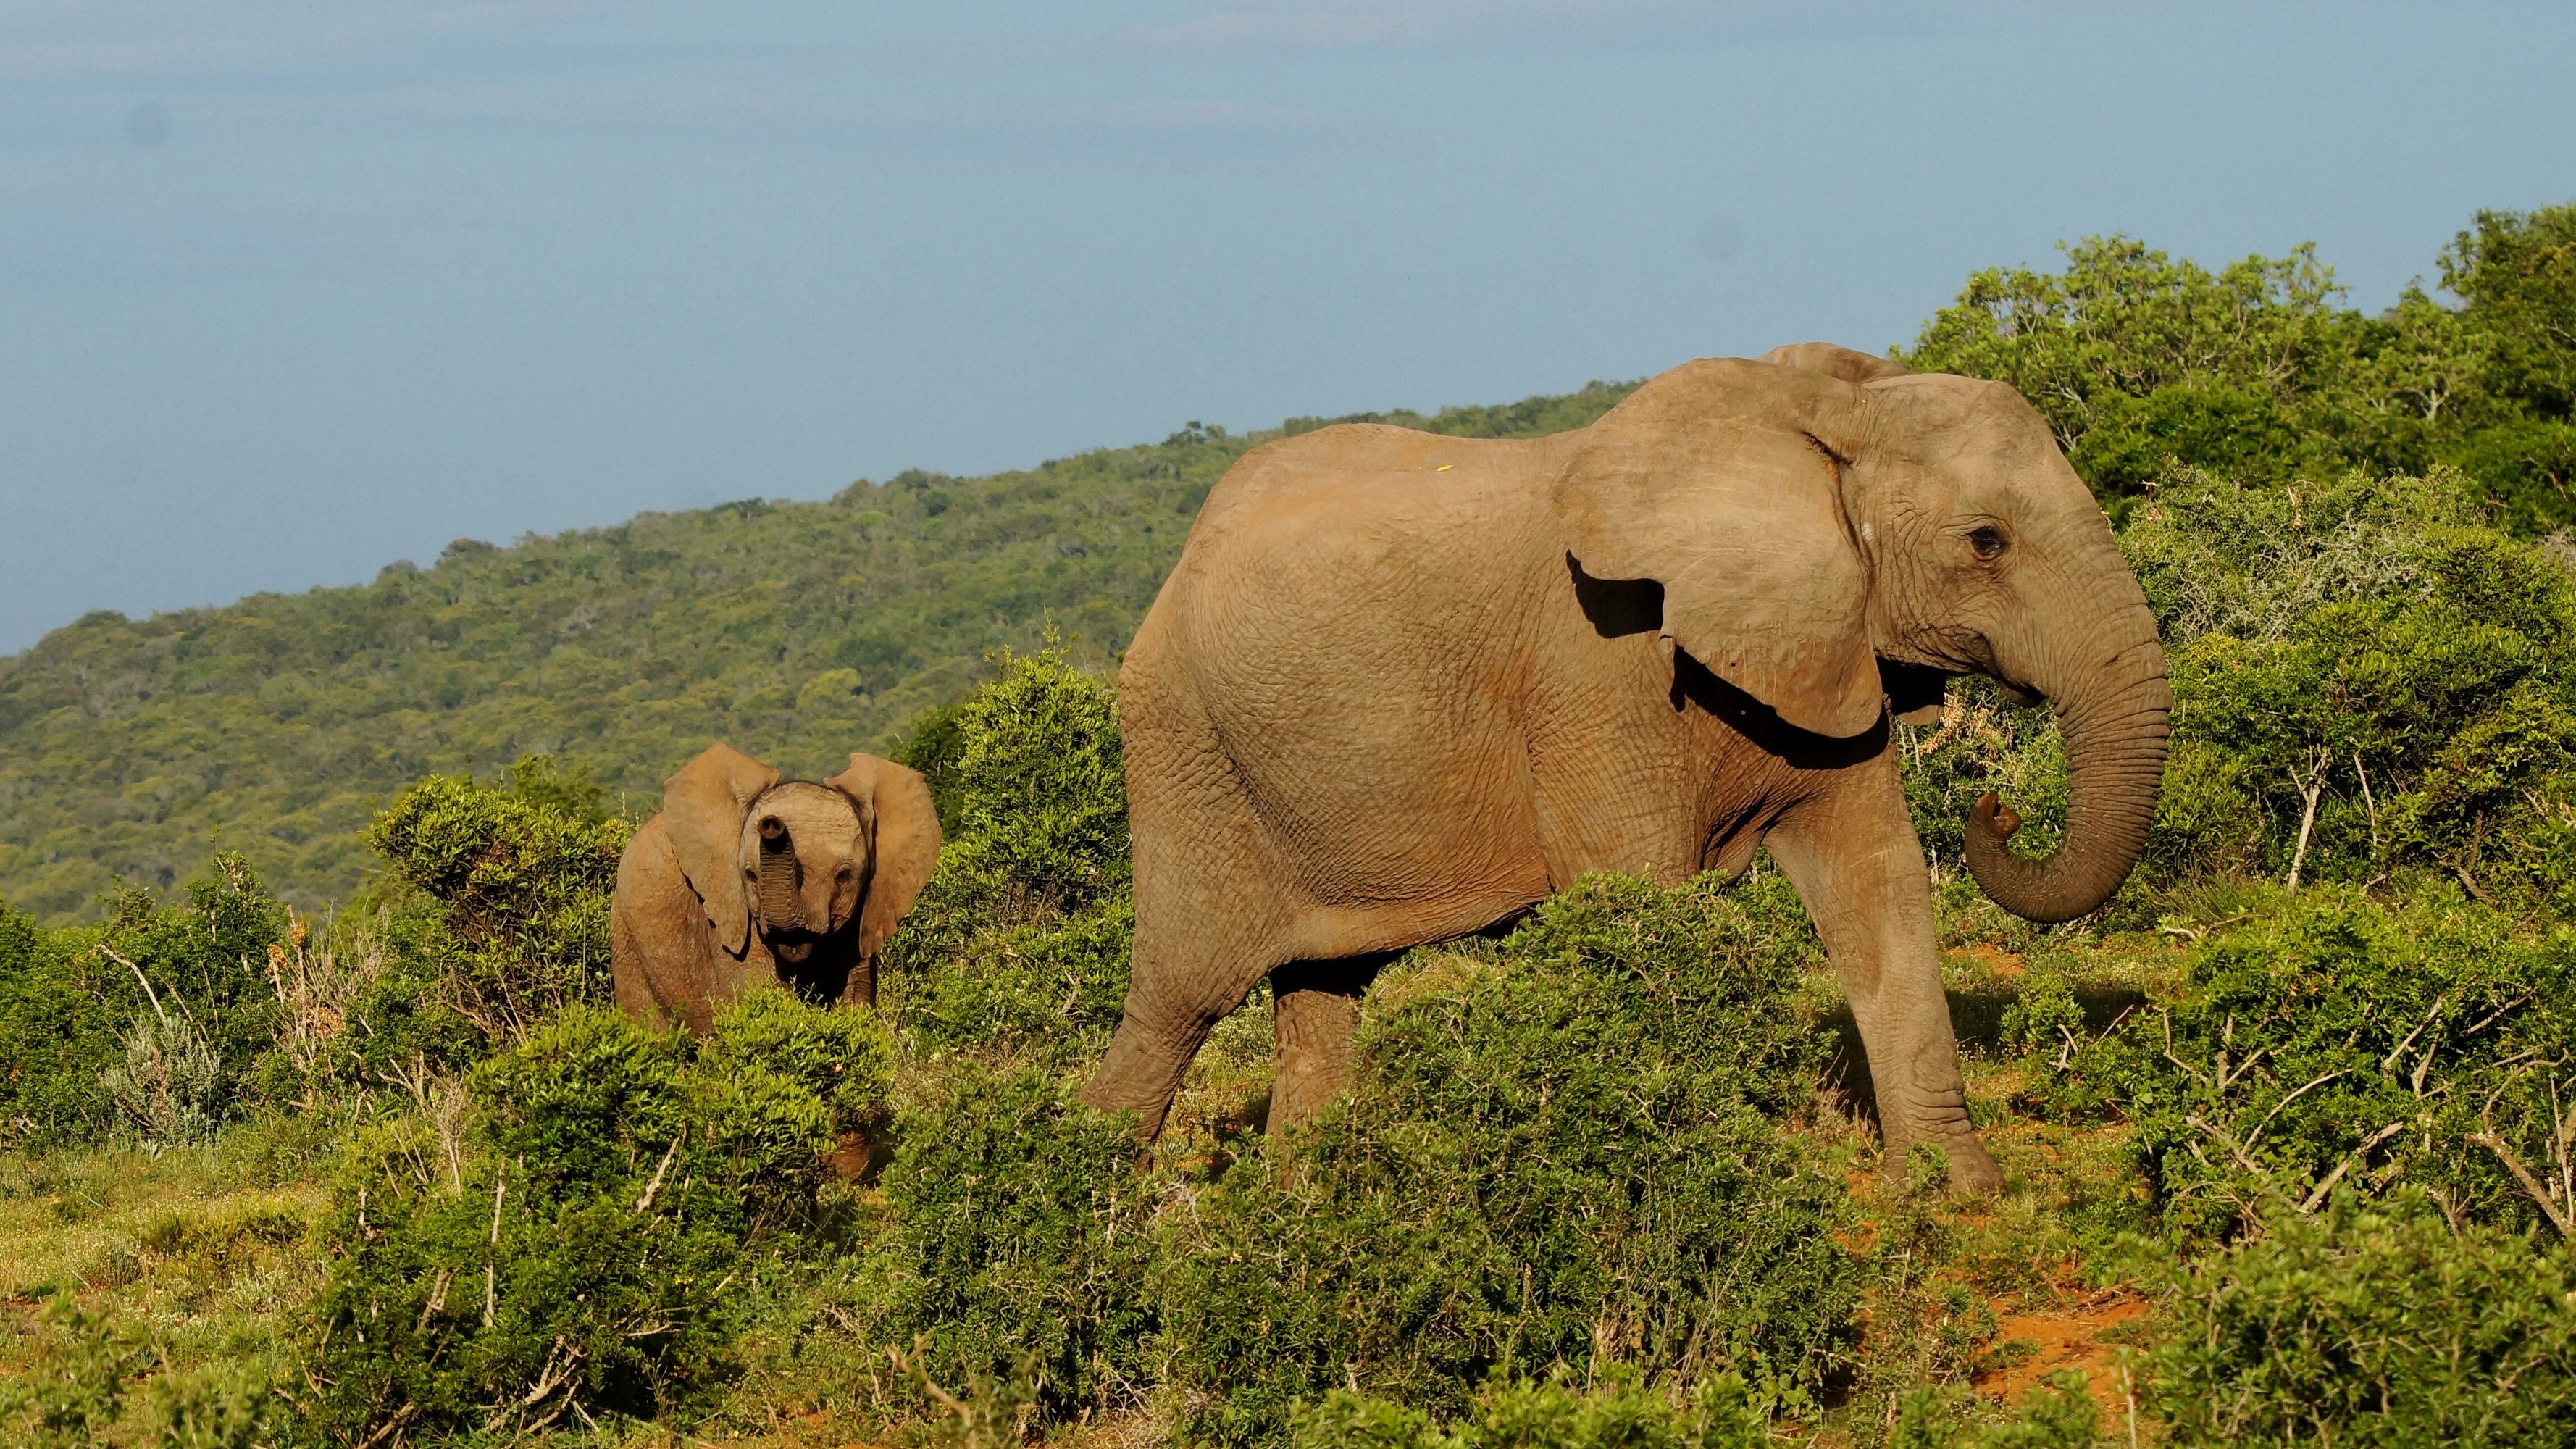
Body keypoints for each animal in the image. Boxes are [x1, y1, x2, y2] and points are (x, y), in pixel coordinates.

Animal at [611, 742, 942, 1034]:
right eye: (750, 875)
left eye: (844, 875)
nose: (770, 824)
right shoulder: (730, 916)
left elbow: (854, 999)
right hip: (625, 935)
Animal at [1079, 342, 2170, 1192]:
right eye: (1987, 543)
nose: (1999, 807)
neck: (1813, 412)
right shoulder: (1594, 668)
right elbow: (1640, 896)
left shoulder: (1829, 654)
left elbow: (1877, 881)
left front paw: (1956, 1193)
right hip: (1183, 745)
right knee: (1180, 999)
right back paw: (1093, 1218)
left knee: (1321, 992)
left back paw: (1297, 1220)